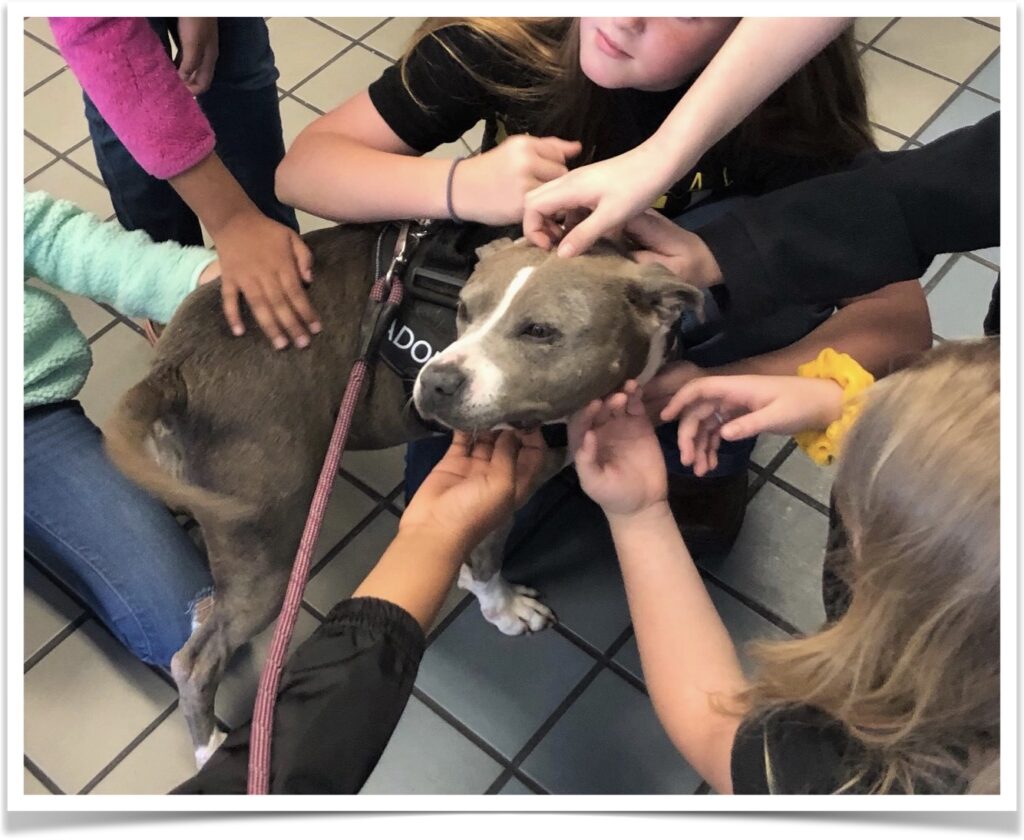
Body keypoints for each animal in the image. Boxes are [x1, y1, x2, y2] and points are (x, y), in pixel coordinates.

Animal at [101, 221, 704, 762]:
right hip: (267, 544)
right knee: (195, 659)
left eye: (540, 332)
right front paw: (505, 608)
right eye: (465, 310)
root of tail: (174, 367)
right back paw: (209, 747)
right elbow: (488, 556)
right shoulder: (514, 477)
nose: (435, 382)